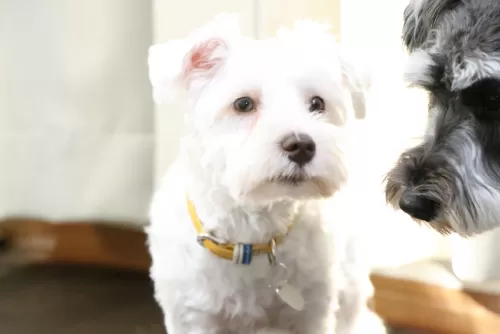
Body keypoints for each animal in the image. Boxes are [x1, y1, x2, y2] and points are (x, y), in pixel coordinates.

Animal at [146, 13, 380, 334]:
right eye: (243, 103)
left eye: (317, 103)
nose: (301, 145)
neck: (251, 237)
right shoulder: (192, 316)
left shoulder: (313, 312)